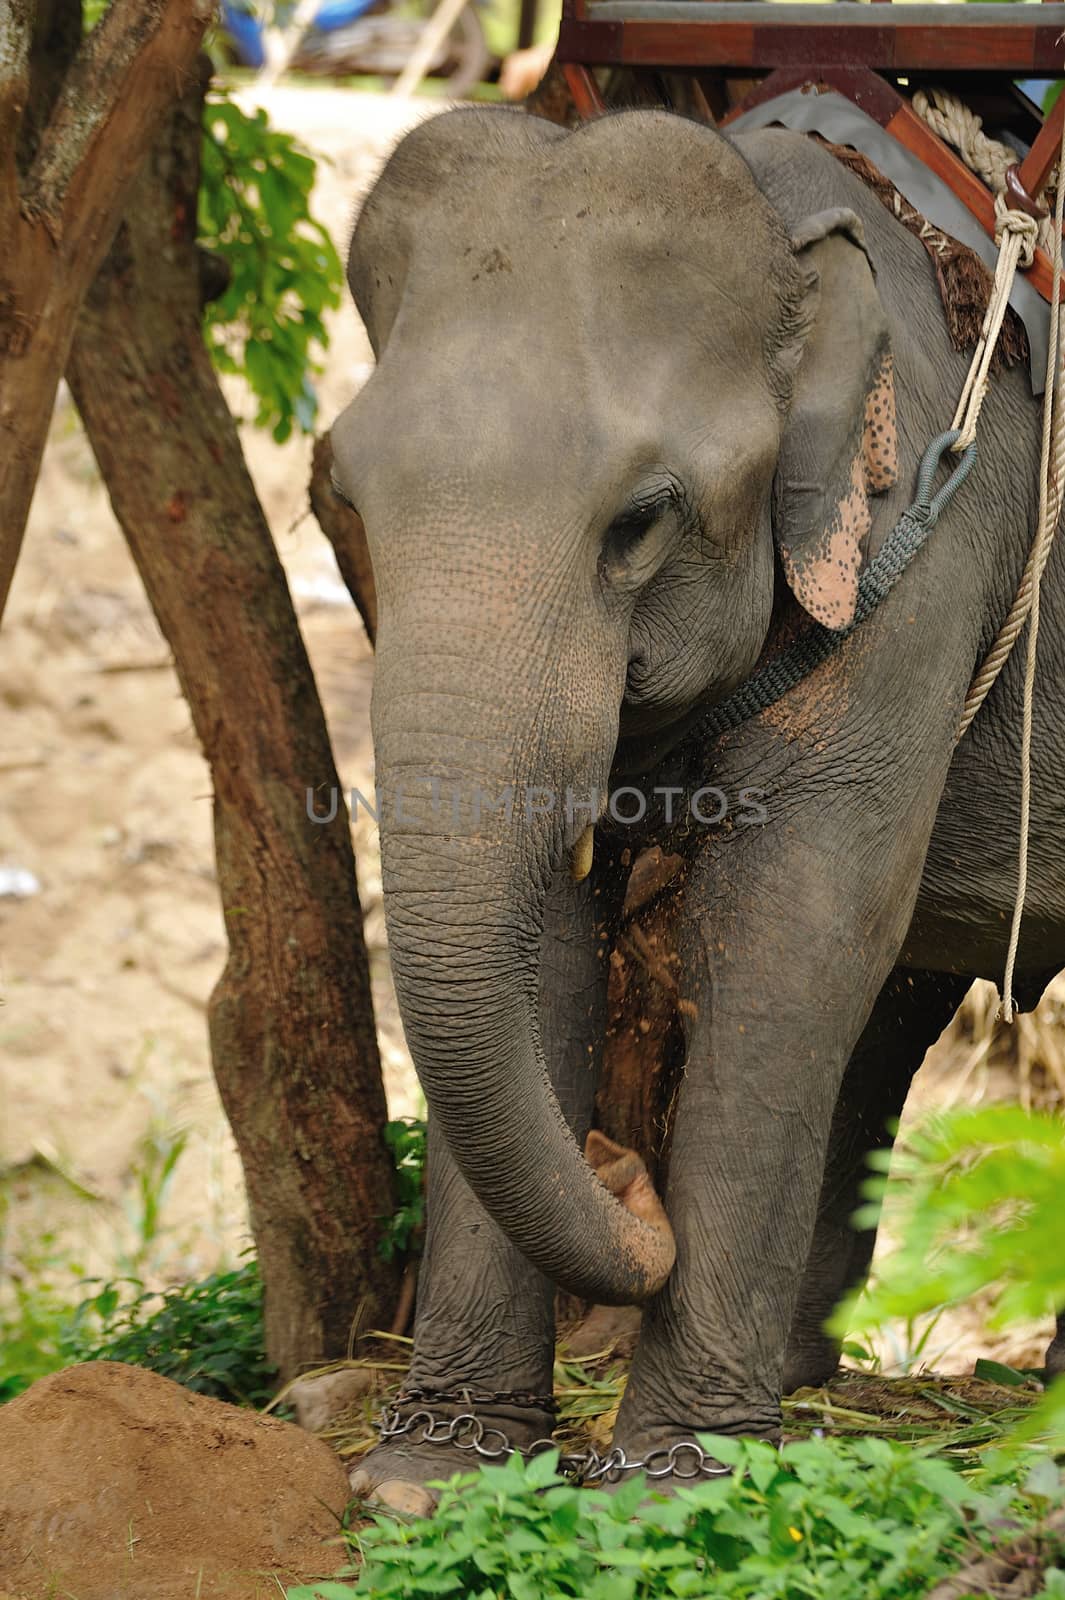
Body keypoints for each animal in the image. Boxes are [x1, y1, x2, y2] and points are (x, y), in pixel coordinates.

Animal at [329, 106, 1061, 1504]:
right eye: (339, 499)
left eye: (639, 521)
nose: (625, 1178)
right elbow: (548, 946)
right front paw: (430, 1473)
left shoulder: (927, 556)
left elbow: (798, 932)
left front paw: (678, 1475)